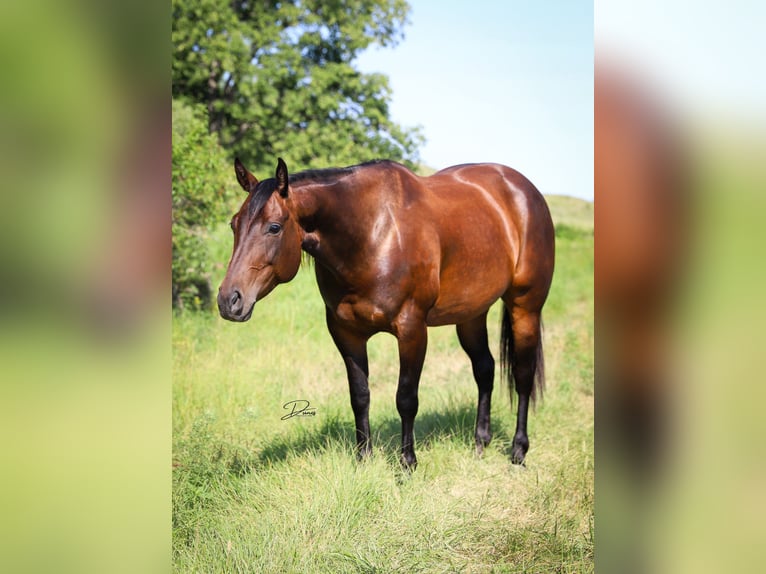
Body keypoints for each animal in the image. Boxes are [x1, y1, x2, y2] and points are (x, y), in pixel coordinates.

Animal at [219, 156, 556, 468]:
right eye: (234, 224)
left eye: (274, 227)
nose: (228, 300)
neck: (374, 234)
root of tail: (525, 191)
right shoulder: (346, 333)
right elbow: (360, 395)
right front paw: (363, 459)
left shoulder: (412, 330)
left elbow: (406, 398)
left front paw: (407, 463)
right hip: (471, 313)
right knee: (484, 369)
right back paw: (480, 444)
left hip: (525, 306)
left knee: (523, 375)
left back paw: (518, 451)